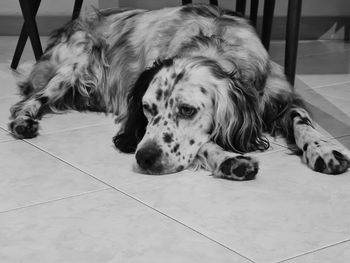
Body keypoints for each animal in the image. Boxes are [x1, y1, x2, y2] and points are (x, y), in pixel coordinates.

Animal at [8, 4, 350, 180]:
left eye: (187, 110)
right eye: (147, 109)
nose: (144, 158)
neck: (216, 43)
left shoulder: (278, 95)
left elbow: (303, 122)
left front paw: (323, 150)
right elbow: (204, 144)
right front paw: (230, 159)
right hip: (73, 67)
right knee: (29, 100)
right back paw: (24, 121)